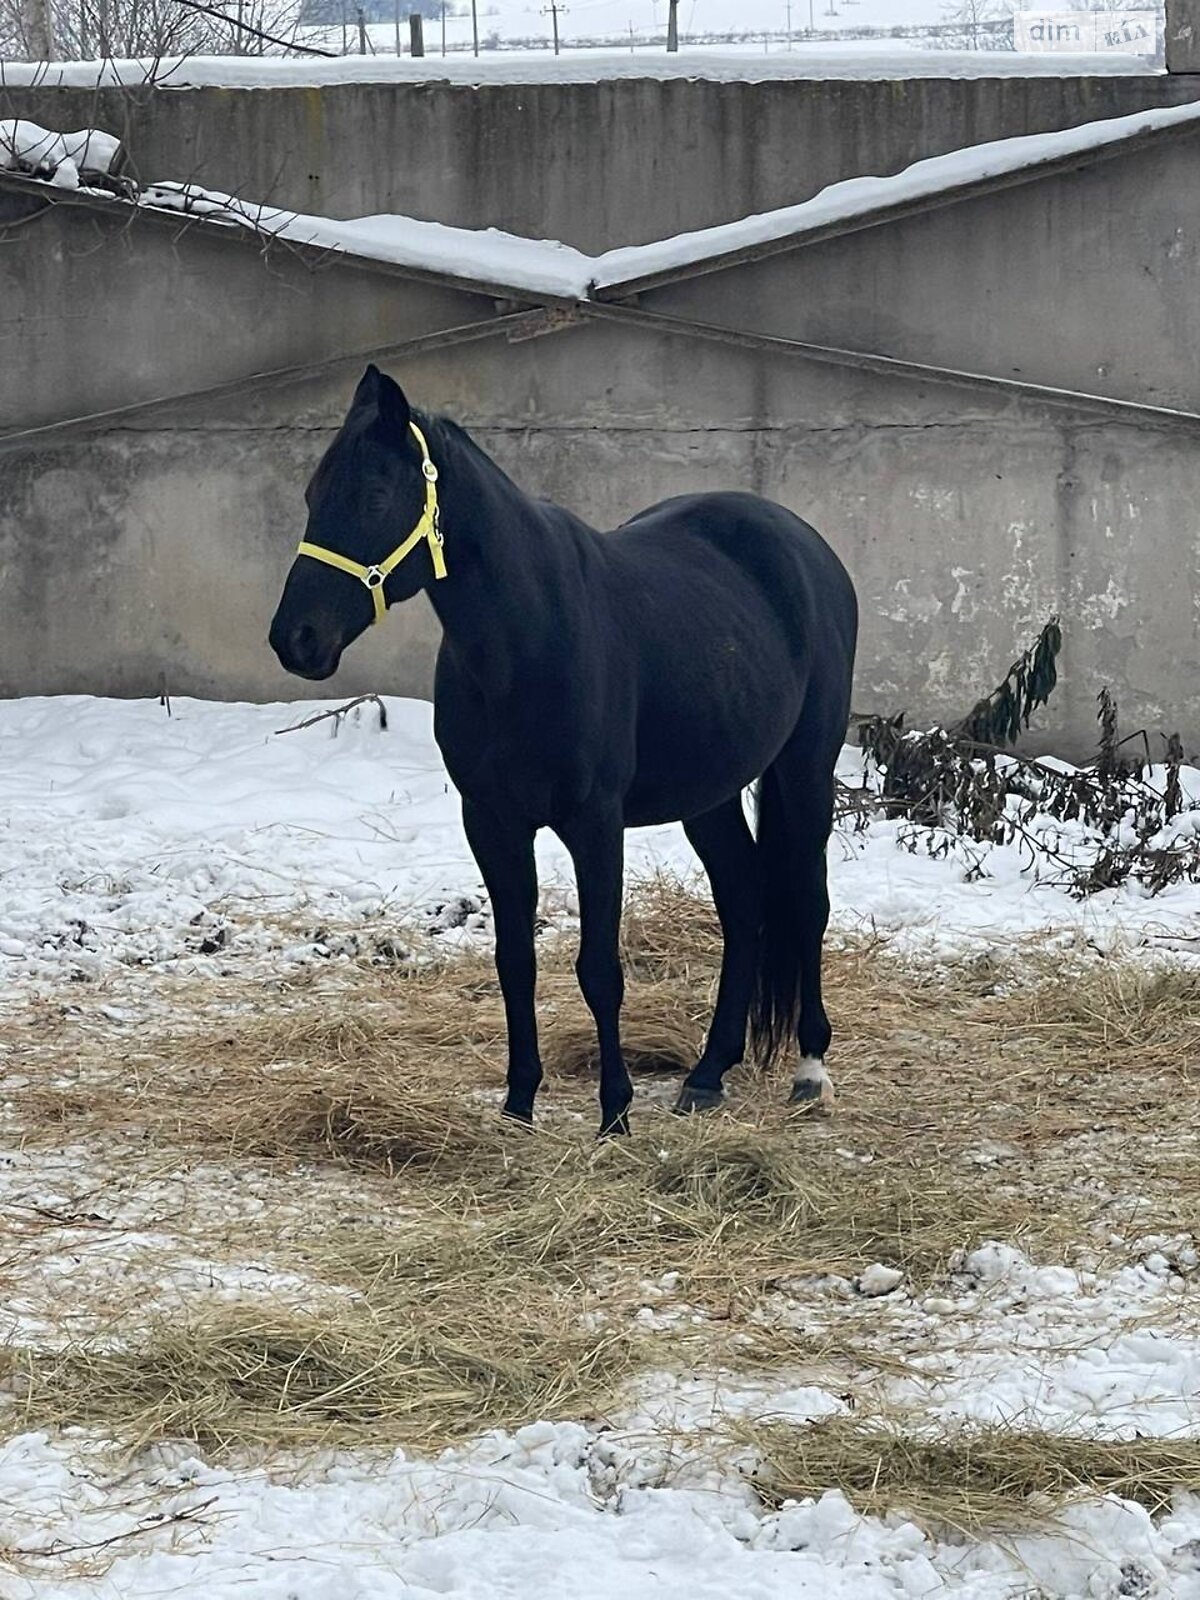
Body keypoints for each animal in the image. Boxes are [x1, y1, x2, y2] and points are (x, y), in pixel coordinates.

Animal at [268, 363, 857, 1139]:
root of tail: (805, 544)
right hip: (710, 792)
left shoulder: (595, 824)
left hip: (806, 765)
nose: (295, 639)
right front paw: (519, 1103)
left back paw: (810, 1070)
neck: (528, 640)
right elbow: (514, 960)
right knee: (744, 897)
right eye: (311, 494)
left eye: (373, 495)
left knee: (807, 901)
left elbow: (599, 970)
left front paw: (615, 1114)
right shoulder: (491, 821)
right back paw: (707, 1074)